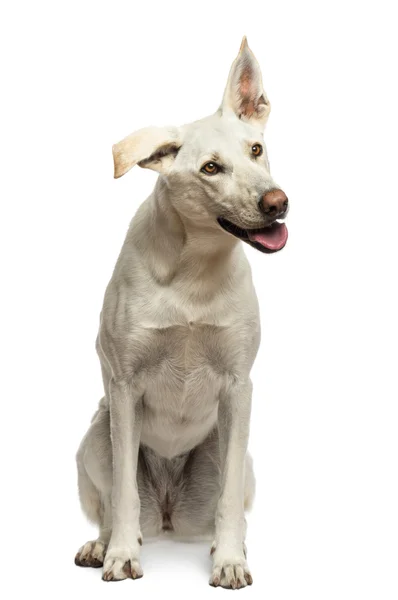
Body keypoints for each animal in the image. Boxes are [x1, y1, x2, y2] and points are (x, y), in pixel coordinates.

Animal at [74, 35, 290, 588]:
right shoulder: (124, 388)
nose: (278, 203)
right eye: (210, 168)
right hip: (95, 437)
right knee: (110, 502)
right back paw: (101, 544)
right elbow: (123, 496)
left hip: (236, 457)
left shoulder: (238, 388)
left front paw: (229, 560)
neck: (194, 270)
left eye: (256, 149)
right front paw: (121, 555)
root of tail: (170, 512)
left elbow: (229, 502)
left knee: (227, 504)